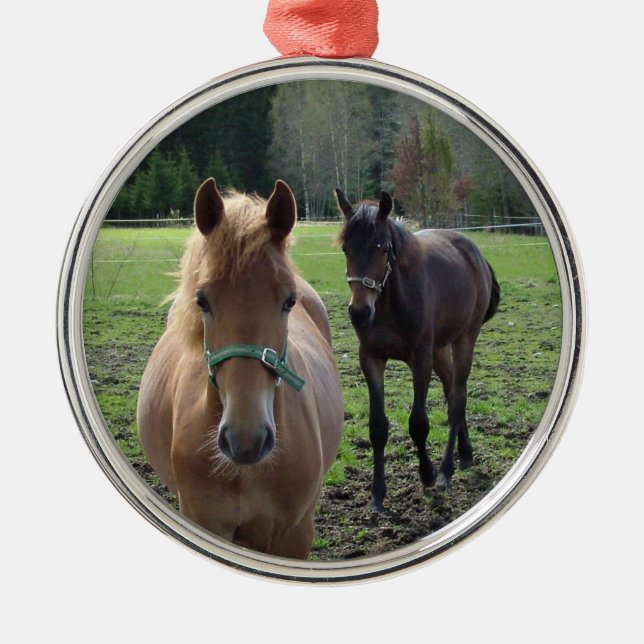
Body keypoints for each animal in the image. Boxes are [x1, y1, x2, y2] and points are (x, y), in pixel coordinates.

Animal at [335, 189, 500, 511]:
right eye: (346, 248)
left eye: (383, 248)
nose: (359, 312)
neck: (390, 303)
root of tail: (476, 254)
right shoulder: (371, 358)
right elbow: (377, 427)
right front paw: (377, 494)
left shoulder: (420, 358)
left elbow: (419, 423)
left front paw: (426, 473)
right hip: (440, 349)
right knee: (452, 391)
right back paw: (465, 454)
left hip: (464, 339)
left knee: (457, 397)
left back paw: (446, 470)